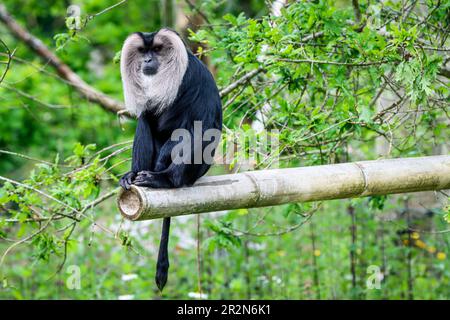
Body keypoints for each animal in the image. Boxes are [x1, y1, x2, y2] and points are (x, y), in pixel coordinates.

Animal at [118, 28, 222, 292]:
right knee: (145, 119)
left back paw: (164, 179)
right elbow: (149, 116)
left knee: (192, 133)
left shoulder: (190, 78)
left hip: (196, 169)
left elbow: (193, 126)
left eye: (156, 50)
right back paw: (135, 175)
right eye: (143, 51)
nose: (147, 60)